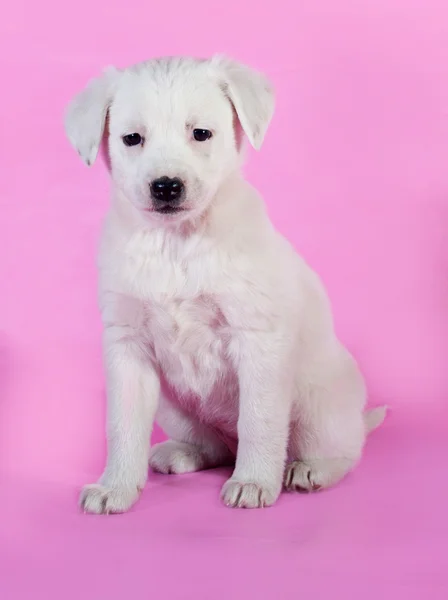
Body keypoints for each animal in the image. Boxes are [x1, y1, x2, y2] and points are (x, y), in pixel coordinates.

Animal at [65, 56, 384, 512]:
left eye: (201, 133)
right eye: (132, 139)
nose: (166, 187)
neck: (177, 243)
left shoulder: (256, 339)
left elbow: (259, 420)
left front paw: (253, 481)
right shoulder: (126, 345)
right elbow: (122, 426)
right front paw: (116, 487)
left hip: (319, 405)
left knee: (340, 451)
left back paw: (309, 470)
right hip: (173, 406)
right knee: (215, 447)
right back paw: (182, 453)